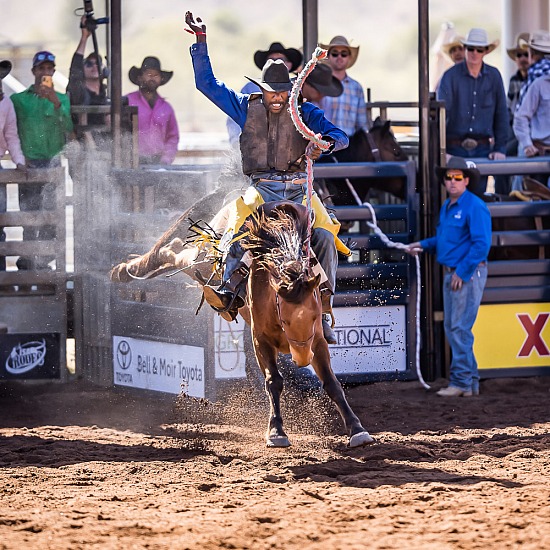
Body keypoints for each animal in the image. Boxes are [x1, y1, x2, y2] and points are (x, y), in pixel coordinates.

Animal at [243, 201, 376, 450]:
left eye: (316, 317)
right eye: (284, 320)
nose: (304, 358)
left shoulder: (318, 341)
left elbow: (332, 383)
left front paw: (357, 429)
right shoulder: (260, 339)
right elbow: (274, 381)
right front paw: (276, 431)